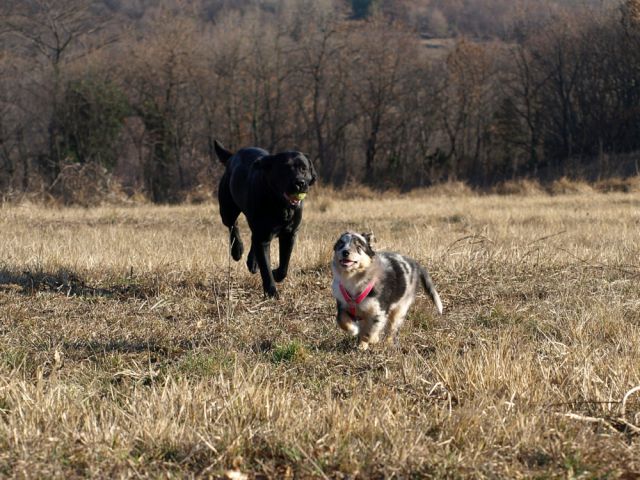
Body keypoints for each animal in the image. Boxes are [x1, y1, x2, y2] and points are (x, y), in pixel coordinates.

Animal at [214, 140, 316, 296]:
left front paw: (276, 275)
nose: (300, 182)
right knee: (233, 226)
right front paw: (272, 292)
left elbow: (284, 265)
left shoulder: (289, 234)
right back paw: (237, 250)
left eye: (304, 168)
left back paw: (252, 262)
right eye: (285, 169)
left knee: (251, 238)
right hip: (227, 209)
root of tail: (232, 156)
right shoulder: (263, 237)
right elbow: (266, 268)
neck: (280, 205)